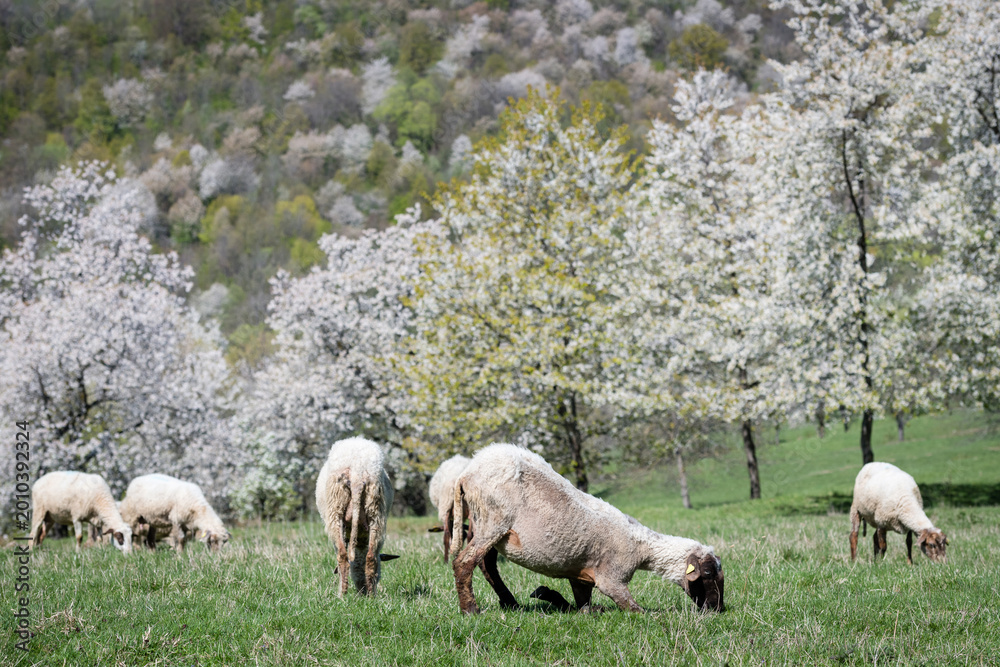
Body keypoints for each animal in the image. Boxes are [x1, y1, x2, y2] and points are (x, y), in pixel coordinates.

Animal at [315, 437, 397, 597]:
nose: (362, 592)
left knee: (342, 556)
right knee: (371, 557)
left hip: (335, 510)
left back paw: (342, 595)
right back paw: (372, 597)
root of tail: (357, 472)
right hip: (376, 512)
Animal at [450, 443, 724, 615]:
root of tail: (466, 473)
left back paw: (511, 603)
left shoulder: (580, 575)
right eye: (707, 573)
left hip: (482, 524)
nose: (718, 609)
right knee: (464, 562)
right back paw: (471, 610)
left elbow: (583, 606)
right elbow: (635, 609)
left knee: (487, 565)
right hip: (493, 520)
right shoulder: (611, 578)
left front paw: (548, 595)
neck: (641, 547)